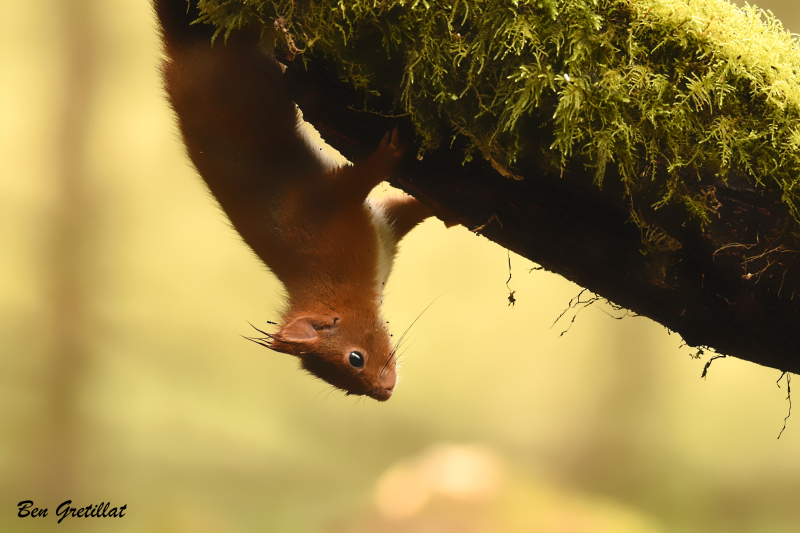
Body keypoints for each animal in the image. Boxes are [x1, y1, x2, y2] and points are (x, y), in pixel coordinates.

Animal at [153, 0, 434, 400]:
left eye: (355, 358)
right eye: (349, 376)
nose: (384, 393)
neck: (334, 281)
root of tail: (179, 53)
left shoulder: (325, 206)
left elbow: (392, 200)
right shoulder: (357, 217)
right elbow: (388, 202)